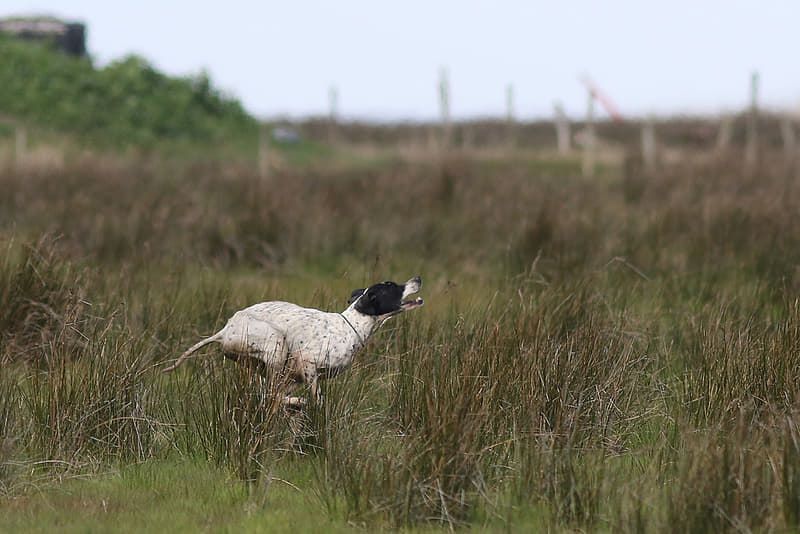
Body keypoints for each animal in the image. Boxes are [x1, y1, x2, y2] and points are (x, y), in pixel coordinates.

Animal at [163, 278, 424, 408]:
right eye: (392, 286)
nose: (418, 278)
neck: (350, 326)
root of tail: (225, 329)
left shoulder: (294, 377)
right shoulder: (307, 364)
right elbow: (316, 399)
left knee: (265, 394)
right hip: (276, 342)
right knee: (269, 395)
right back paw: (299, 402)